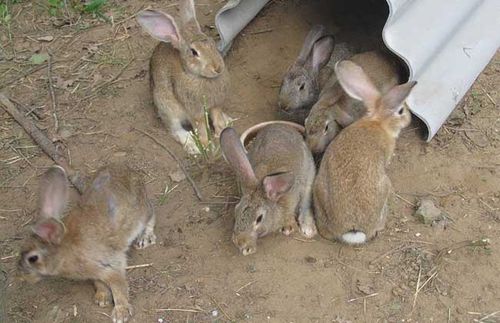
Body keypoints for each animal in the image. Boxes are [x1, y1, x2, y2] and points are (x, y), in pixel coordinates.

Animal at [17, 165, 155, 323]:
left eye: (32, 258)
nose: (21, 276)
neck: (65, 251)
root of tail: (131, 172)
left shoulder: (111, 265)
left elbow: (118, 287)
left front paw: (120, 313)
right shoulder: (97, 272)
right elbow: (99, 282)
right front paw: (102, 297)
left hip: (142, 214)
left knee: (151, 215)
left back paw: (145, 238)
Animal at [136, 0, 231, 156]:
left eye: (212, 42)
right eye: (194, 52)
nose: (218, 68)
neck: (197, 76)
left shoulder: (215, 105)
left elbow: (217, 119)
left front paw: (223, 131)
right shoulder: (194, 111)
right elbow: (201, 129)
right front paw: (207, 146)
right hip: (167, 108)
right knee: (175, 130)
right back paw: (192, 145)